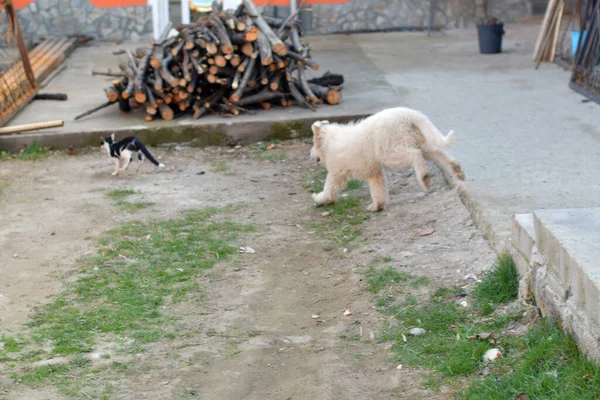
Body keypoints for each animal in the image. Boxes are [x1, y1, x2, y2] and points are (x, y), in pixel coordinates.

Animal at [310, 106, 464, 212]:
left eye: (312, 143)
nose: (310, 155)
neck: (329, 142)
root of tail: (408, 114)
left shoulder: (336, 173)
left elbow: (329, 188)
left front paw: (318, 198)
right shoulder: (374, 173)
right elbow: (378, 189)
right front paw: (377, 206)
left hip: (390, 151)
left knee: (415, 155)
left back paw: (424, 179)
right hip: (418, 142)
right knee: (437, 153)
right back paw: (457, 170)